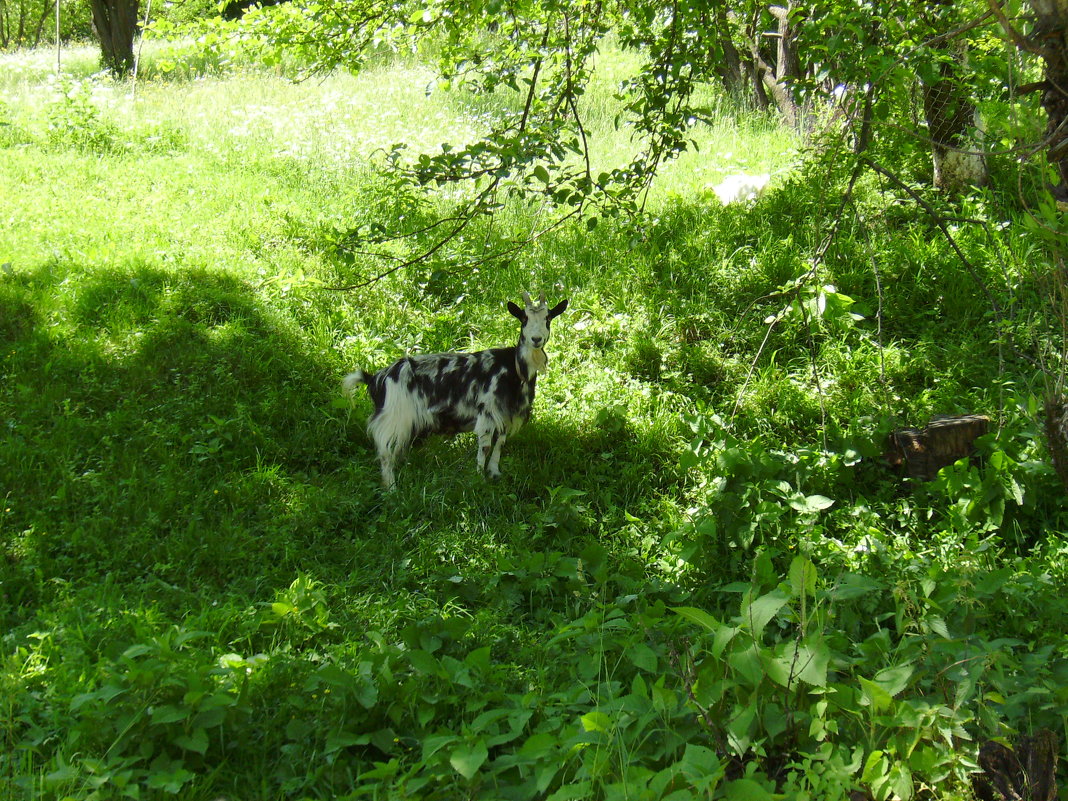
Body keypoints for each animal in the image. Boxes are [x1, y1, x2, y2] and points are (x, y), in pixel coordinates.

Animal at [346, 290, 572, 489]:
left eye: (548, 318)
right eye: (524, 319)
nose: (536, 339)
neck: (514, 369)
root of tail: (376, 378)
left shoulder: (506, 415)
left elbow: (500, 444)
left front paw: (494, 473)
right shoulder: (487, 413)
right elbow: (485, 447)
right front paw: (479, 479)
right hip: (394, 419)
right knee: (386, 453)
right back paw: (392, 488)